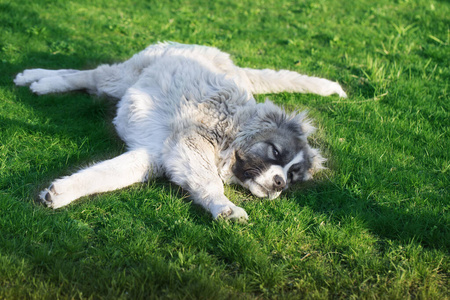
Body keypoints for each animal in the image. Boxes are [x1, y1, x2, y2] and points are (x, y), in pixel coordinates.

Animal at [13, 41, 344, 220]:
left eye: (293, 177)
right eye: (275, 152)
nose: (279, 184)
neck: (232, 129)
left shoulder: (153, 155)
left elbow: (103, 176)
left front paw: (60, 193)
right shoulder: (190, 146)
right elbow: (211, 182)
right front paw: (225, 208)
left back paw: (32, 77)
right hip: (124, 77)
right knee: (90, 76)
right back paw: (42, 81)